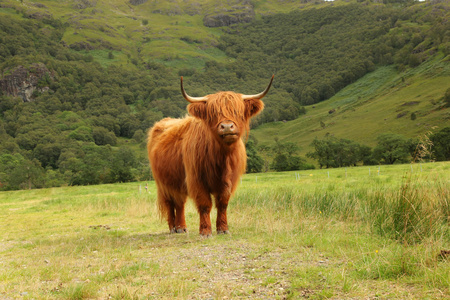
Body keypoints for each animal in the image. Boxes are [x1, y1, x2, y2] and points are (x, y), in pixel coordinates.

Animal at [149, 77, 272, 237]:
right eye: (213, 113)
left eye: (237, 112)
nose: (227, 127)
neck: (222, 157)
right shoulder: (196, 179)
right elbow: (205, 204)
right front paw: (205, 231)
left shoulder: (229, 181)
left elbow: (223, 203)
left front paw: (223, 229)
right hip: (164, 183)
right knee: (170, 203)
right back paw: (173, 228)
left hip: (178, 183)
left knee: (180, 203)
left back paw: (182, 227)